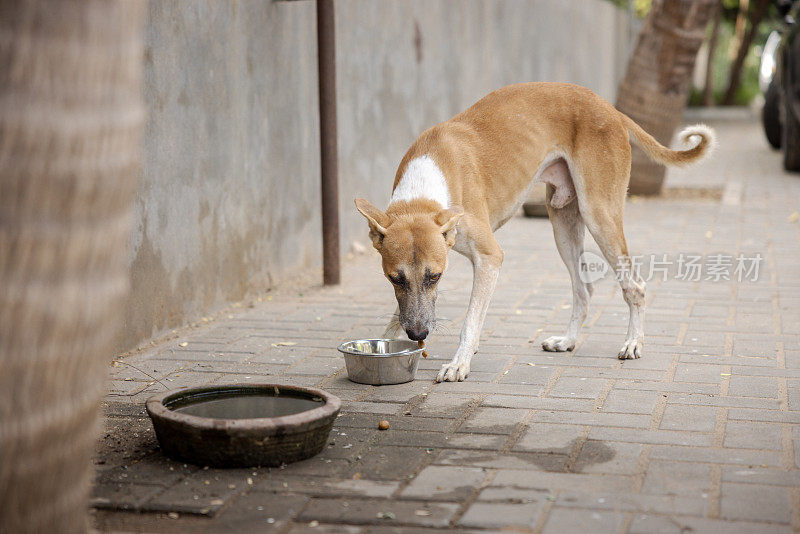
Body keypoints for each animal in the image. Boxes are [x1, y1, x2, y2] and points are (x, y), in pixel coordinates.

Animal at [354, 81, 716, 384]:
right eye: (394, 278)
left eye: (435, 277)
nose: (418, 335)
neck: (425, 185)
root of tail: (611, 109)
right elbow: (398, 315)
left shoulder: (489, 257)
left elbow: (470, 322)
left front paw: (459, 363)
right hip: (563, 225)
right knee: (583, 290)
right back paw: (568, 341)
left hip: (600, 216)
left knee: (634, 286)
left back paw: (632, 343)